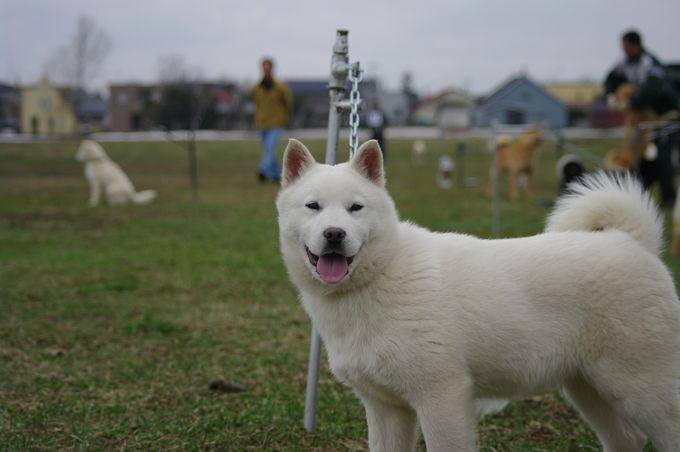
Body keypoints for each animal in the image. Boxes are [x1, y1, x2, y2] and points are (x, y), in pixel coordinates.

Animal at [276, 138, 680, 451]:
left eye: (355, 208)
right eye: (313, 206)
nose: (334, 234)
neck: (382, 275)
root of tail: (631, 242)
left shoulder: (442, 398)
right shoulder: (385, 408)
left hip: (644, 391)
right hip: (588, 387)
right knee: (626, 438)